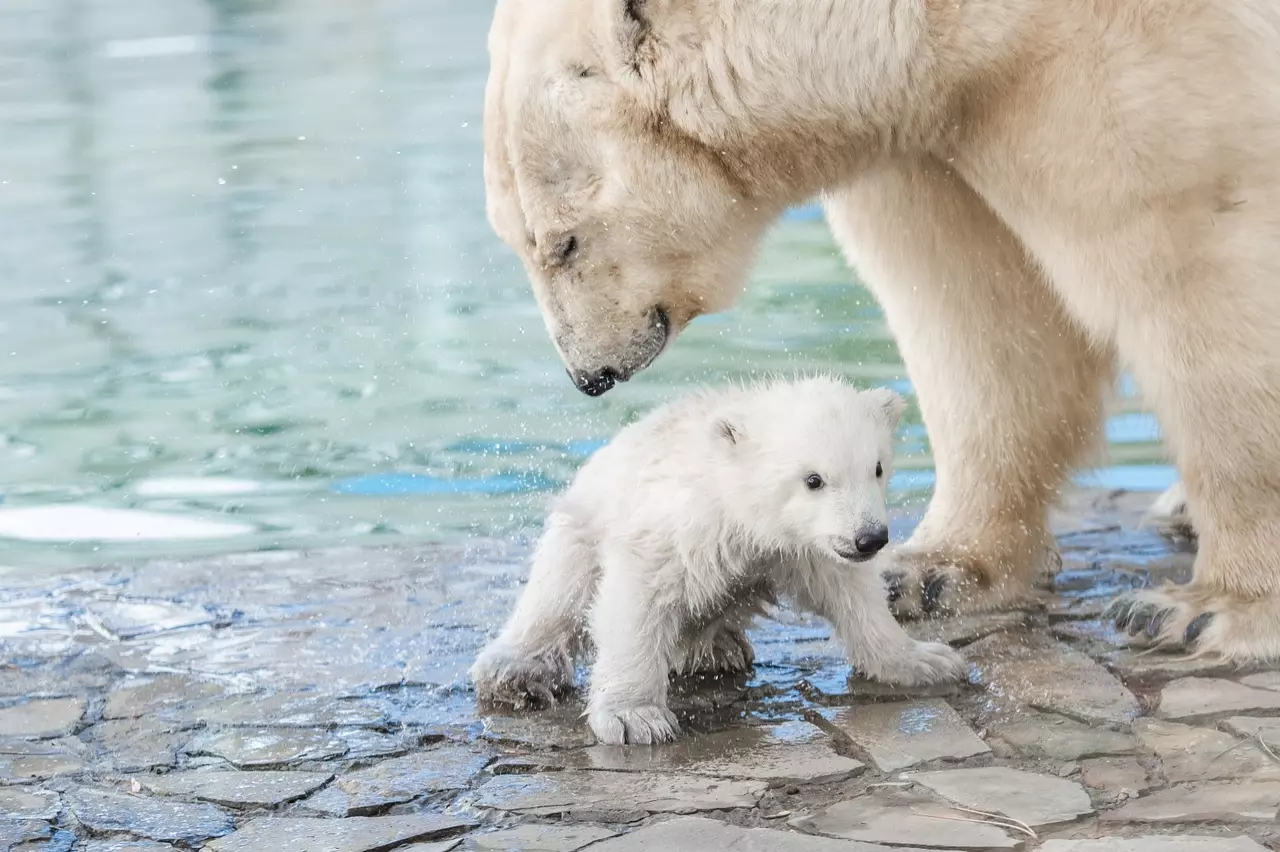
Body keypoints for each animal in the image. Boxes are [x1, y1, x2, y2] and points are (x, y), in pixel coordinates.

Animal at [481, 0, 1280, 660]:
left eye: (562, 243)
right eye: (517, 242)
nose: (588, 375)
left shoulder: (1129, 61)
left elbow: (1195, 266)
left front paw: (1209, 610)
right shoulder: (940, 126)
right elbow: (975, 306)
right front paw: (929, 571)